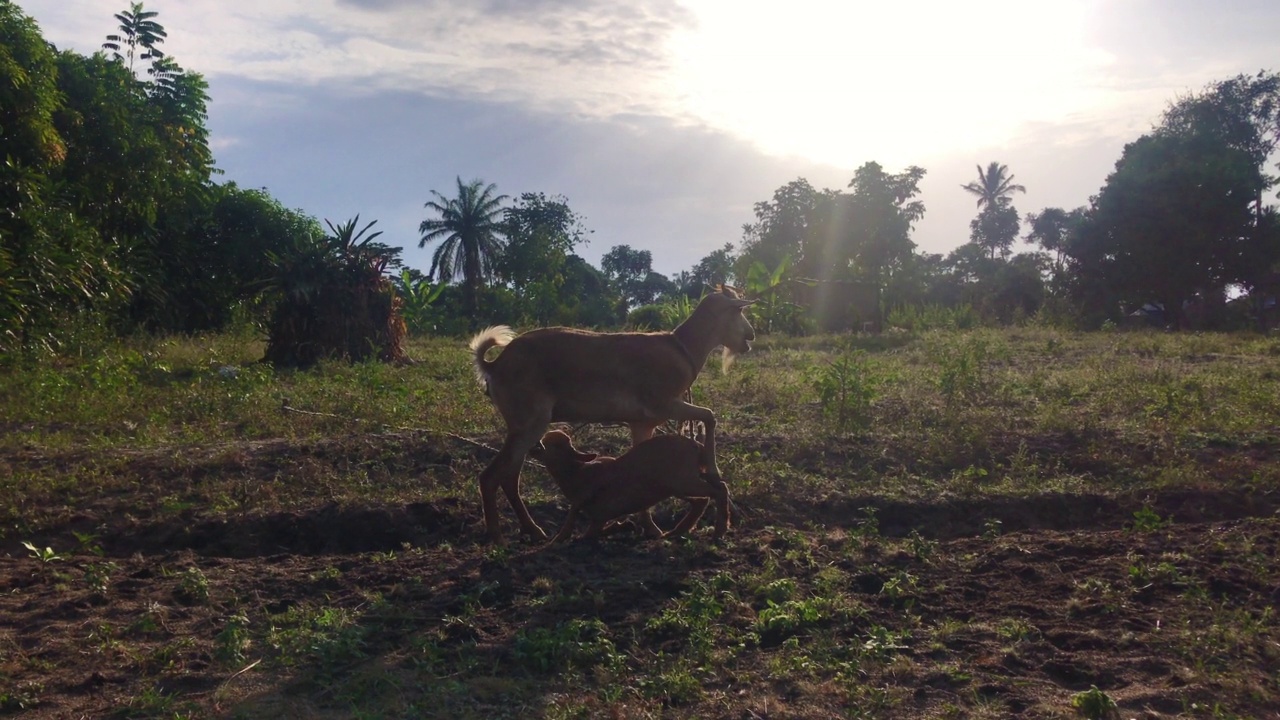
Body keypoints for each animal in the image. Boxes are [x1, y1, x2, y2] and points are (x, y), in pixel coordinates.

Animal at [527, 427, 732, 540]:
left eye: (555, 445)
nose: (533, 446)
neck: (577, 474)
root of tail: (698, 447)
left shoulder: (597, 511)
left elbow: (582, 530)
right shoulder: (599, 515)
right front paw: (626, 526)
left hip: (683, 480)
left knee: (719, 490)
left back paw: (719, 531)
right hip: (676, 485)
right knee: (702, 500)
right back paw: (675, 532)